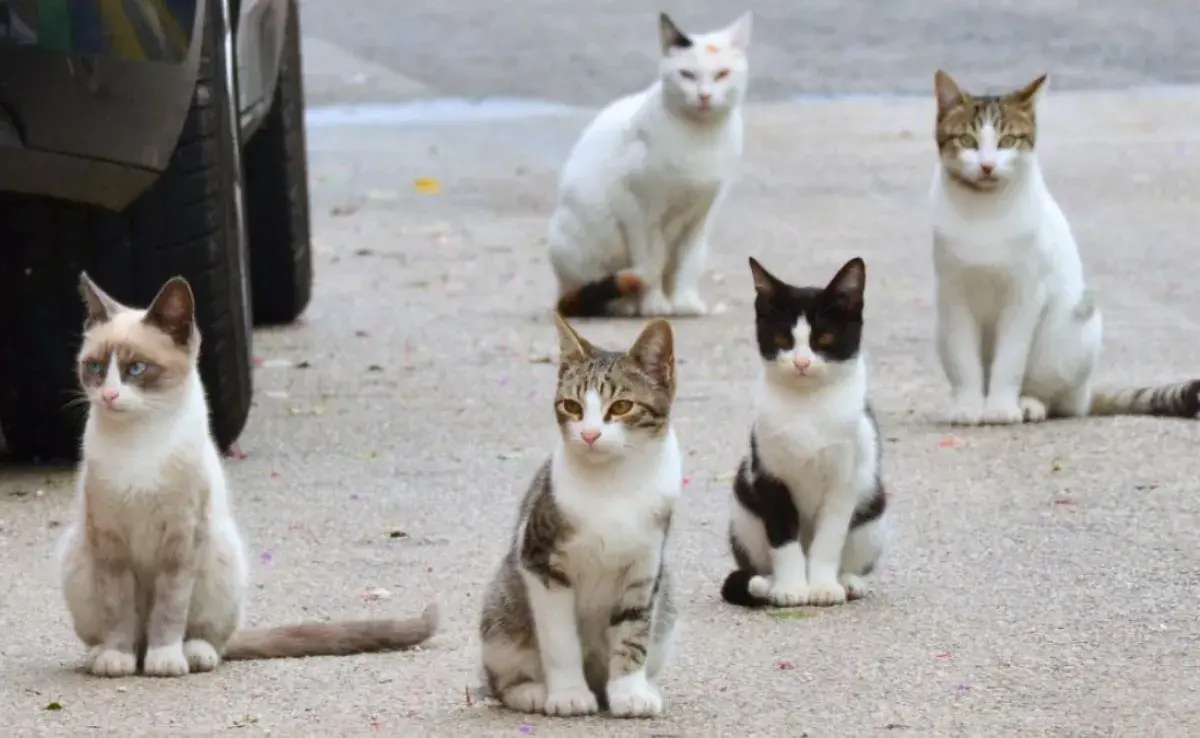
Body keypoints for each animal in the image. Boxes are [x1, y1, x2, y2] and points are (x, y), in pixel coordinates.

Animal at [57, 274, 441, 676]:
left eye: (136, 369)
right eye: (95, 367)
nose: (109, 395)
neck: (138, 442)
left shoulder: (181, 539)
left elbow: (169, 611)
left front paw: (165, 660)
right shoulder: (109, 540)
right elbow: (118, 610)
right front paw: (117, 657)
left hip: (220, 554)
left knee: (210, 638)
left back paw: (191, 655)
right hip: (76, 557)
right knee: (127, 633)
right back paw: (106, 654)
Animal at [480, 314, 686, 720]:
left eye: (621, 406)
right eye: (572, 406)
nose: (589, 434)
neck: (615, 483)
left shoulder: (645, 568)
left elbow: (633, 632)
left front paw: (629, 692)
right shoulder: (541, 561)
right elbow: (560, 640)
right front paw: (569, 694)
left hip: (667, 601)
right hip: (501, 612)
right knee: (499, 679)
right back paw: (530, 691)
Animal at [549, 10, 753, 316]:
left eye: (722, 74)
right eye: (687, 74)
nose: (704, 95)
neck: (700, 138)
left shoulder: (703, 212)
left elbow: (688, 260)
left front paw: (684, 301)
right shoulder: (637, 209)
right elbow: (651, 261)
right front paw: (654, 303)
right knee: (593, 289)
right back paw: (624, 303)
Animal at [715, 256, 888, 609]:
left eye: (824, 339)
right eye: (782, 340)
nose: (801, 362)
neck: (807, 407)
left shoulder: (845, 480)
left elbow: (829, 538)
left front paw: (822, 586)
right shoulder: (768, 475)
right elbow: (783, 538)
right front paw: (791, 587)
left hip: (873, 508)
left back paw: (848, 581)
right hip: (743, 509)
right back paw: (766, 583)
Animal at [926, 71, 1200, 424]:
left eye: (1007, 141)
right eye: (967, 141)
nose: (987, 166)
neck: (984, 212)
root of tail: (1086, 393)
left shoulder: (1025, 294)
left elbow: (1010, 360)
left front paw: (1001, 407)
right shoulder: (954, 294)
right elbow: (964, 359)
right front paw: (968, 406)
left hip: (1071, 333)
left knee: (1059, 399)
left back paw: (1028, 404)